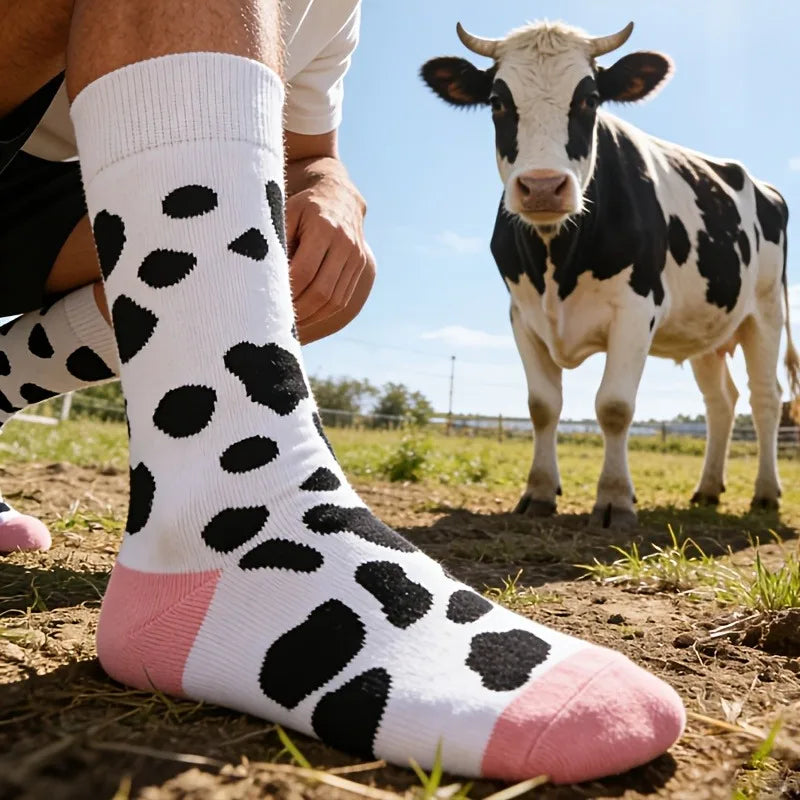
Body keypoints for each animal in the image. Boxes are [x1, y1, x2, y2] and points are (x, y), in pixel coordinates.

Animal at [421, 19, 799, 528]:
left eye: (590, 99)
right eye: (498, 101)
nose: (543, 186)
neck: (557, 259)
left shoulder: (637, 310)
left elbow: (615, 406)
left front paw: (616, 499)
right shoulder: (521, 315)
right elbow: (542, 407)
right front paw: (539, 493)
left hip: (765, 312)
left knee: (765, 399)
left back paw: (765, 494)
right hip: (706, 330)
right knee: (721, 402)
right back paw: (707, 490)